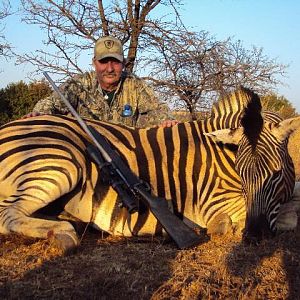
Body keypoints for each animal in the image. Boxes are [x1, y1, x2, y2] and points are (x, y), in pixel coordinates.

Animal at [0, 88, 298, 250]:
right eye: (242, 173)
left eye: (276, 173)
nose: (255, 236)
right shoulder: (216, 203)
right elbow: (291, 216)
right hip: (60, 164)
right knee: (7, 214)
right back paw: (62, 233)